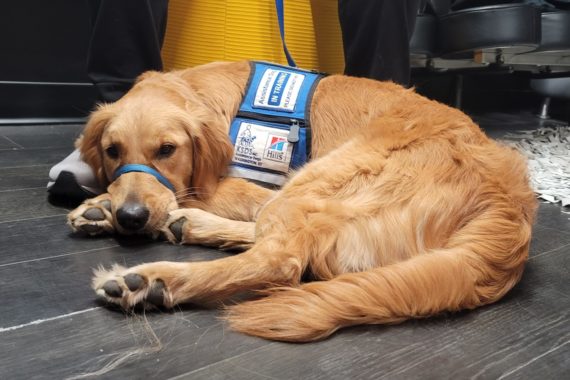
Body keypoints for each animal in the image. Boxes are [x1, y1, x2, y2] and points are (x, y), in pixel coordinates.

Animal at [67, 60, 536, 342]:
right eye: (112, 151)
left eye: (167, 149)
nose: (131, 217)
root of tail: (510, 203)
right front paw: (102, 207)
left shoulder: (224, 183)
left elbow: (197, 194)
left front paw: (108, 205)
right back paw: (188, 226)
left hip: (322, 173)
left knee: (283, 259)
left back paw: (150, 282)